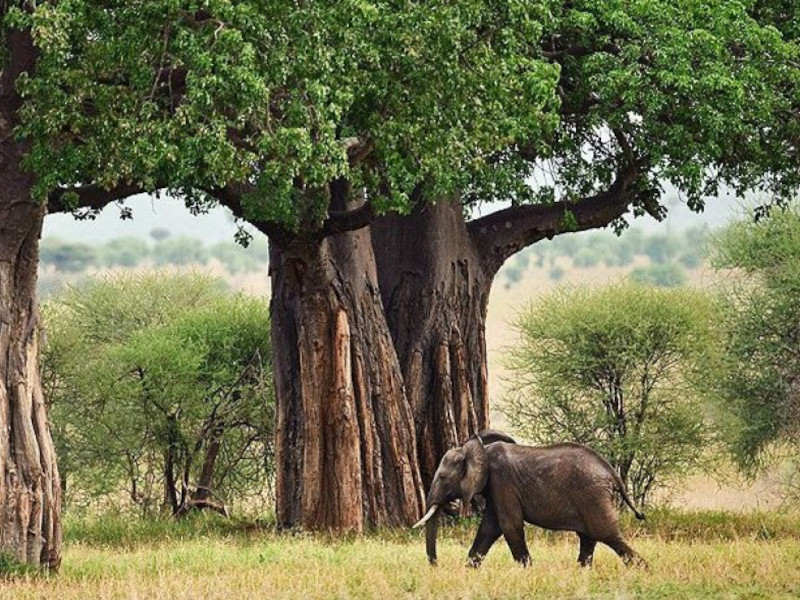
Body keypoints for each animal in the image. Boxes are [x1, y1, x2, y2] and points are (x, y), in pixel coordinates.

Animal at [412, 432, 644, 568]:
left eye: (443, 477)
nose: (435, 565)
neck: (480, 450)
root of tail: (611, 473)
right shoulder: (495, 488)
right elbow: (489, 528)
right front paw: (470, 569)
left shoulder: (501, 481)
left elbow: (509, 525)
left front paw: (528, 569)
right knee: (589, 537)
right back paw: (581, 571)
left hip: (592, 495)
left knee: (606, 534)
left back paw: (641, 570)